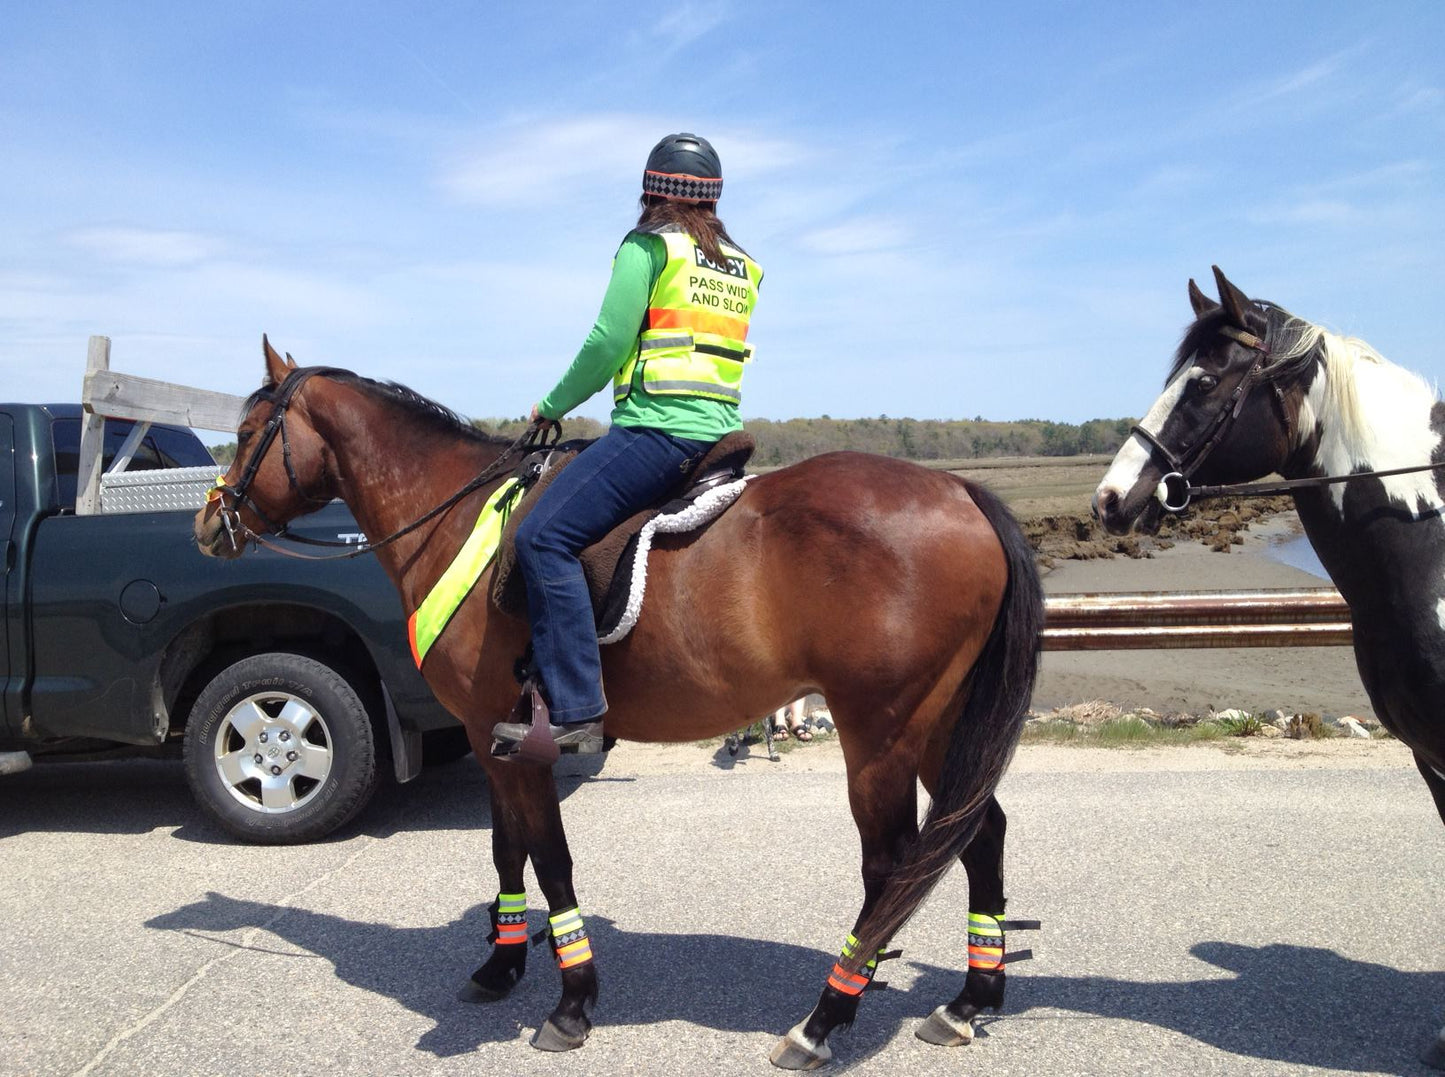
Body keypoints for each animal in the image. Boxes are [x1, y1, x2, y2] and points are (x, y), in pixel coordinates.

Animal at [195, 339, 1051, 1063]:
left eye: (246, 430)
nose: (209, 522)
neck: (456, 516)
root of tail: (960, 490)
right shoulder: (489, 736)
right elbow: (507, 849)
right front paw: (502, 964)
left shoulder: (513, 738)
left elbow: (550, 857)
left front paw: (572, 999)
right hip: (941, 725)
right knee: (979, 834)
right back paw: (969, 998)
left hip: (880, 731)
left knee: (892, 866)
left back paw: (823, 1019)